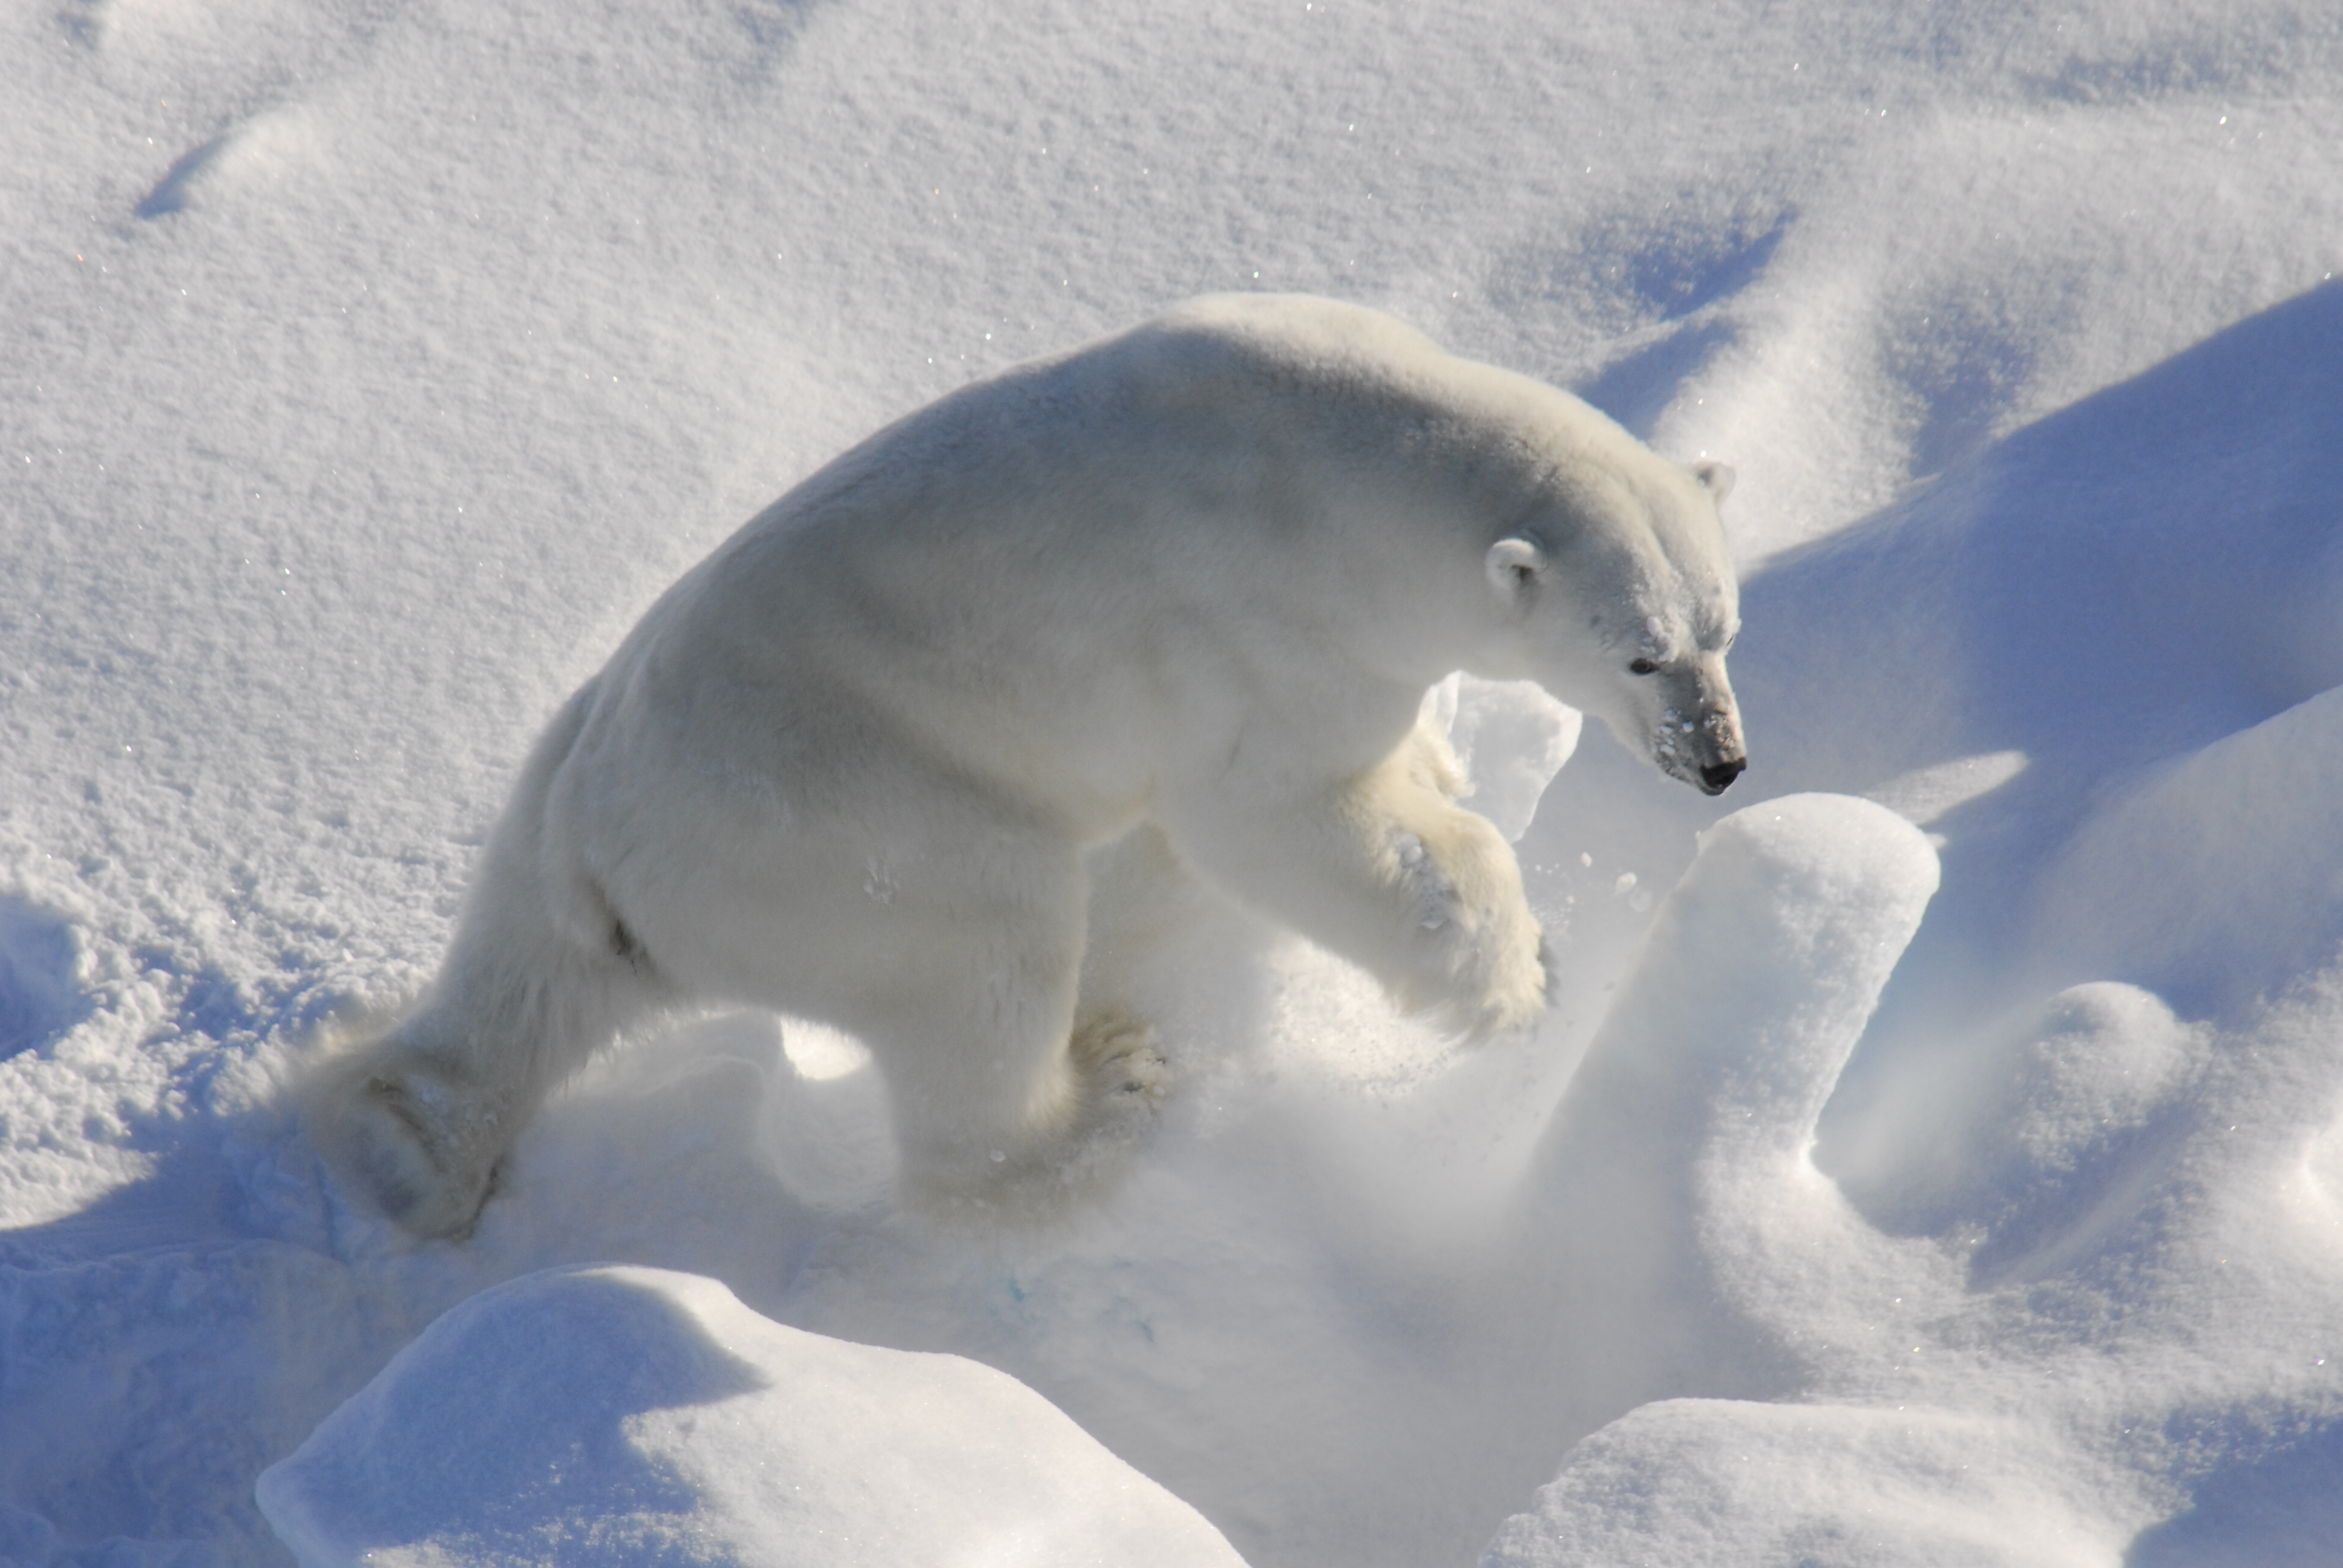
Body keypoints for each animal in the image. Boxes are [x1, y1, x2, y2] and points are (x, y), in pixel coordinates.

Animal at [309, 293, 1746, 1238]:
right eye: (1639, 655)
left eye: (1722, 627)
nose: (1723, 761)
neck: (1347, 458)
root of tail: (603, 849)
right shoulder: (1266, 630)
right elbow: (1274, 821)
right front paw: (1513, 979)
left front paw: (1444, 767)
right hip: (845, 829)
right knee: (986, 967)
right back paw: (1103, 1091)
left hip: (554, 782)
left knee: (515, 984)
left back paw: (400, 1121)